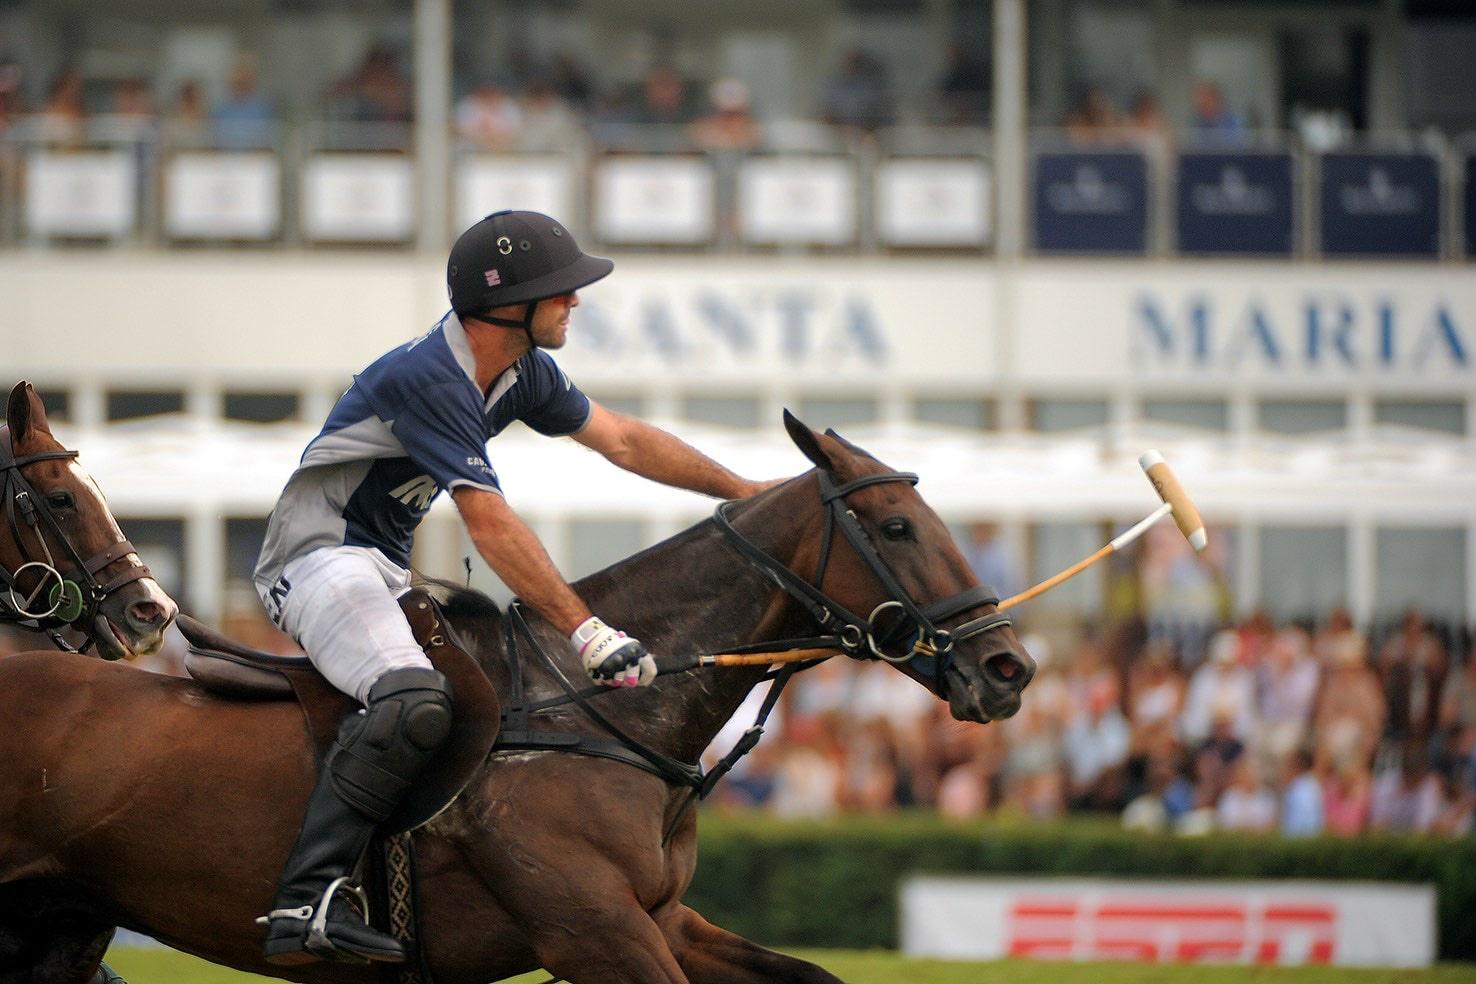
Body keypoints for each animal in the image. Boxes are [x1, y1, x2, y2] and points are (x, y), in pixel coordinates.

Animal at [0, 413, 1039, 984]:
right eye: (896, 525)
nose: (1009, 669)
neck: (596, 715)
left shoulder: (661, 920)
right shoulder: (593, 932)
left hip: (62, 925)